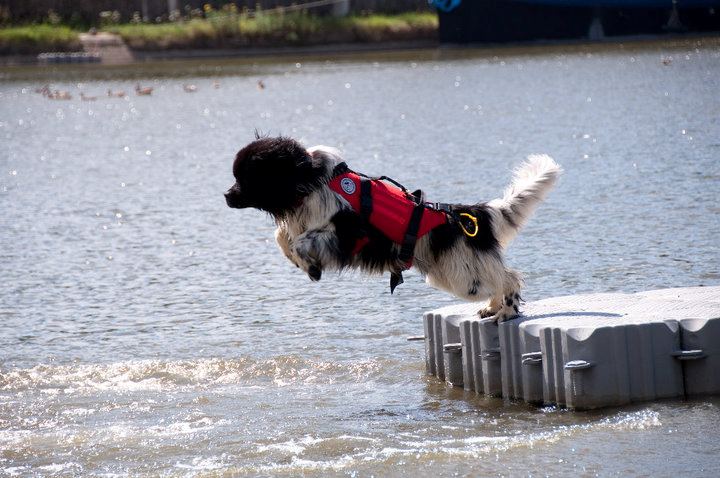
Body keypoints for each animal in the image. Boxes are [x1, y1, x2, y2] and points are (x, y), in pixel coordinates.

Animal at [225, 135, 564, 322]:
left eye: (247, 177)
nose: (226, 195)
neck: (309, 180)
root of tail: (473, 214)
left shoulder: (344, 230)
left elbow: (299, 241)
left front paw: (310, 266)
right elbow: (282, 237)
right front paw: (304, 265)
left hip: (461, 273)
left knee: (509, 278)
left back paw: (506, 310)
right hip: (455, 271)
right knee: (498, 279)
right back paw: (492, 308)